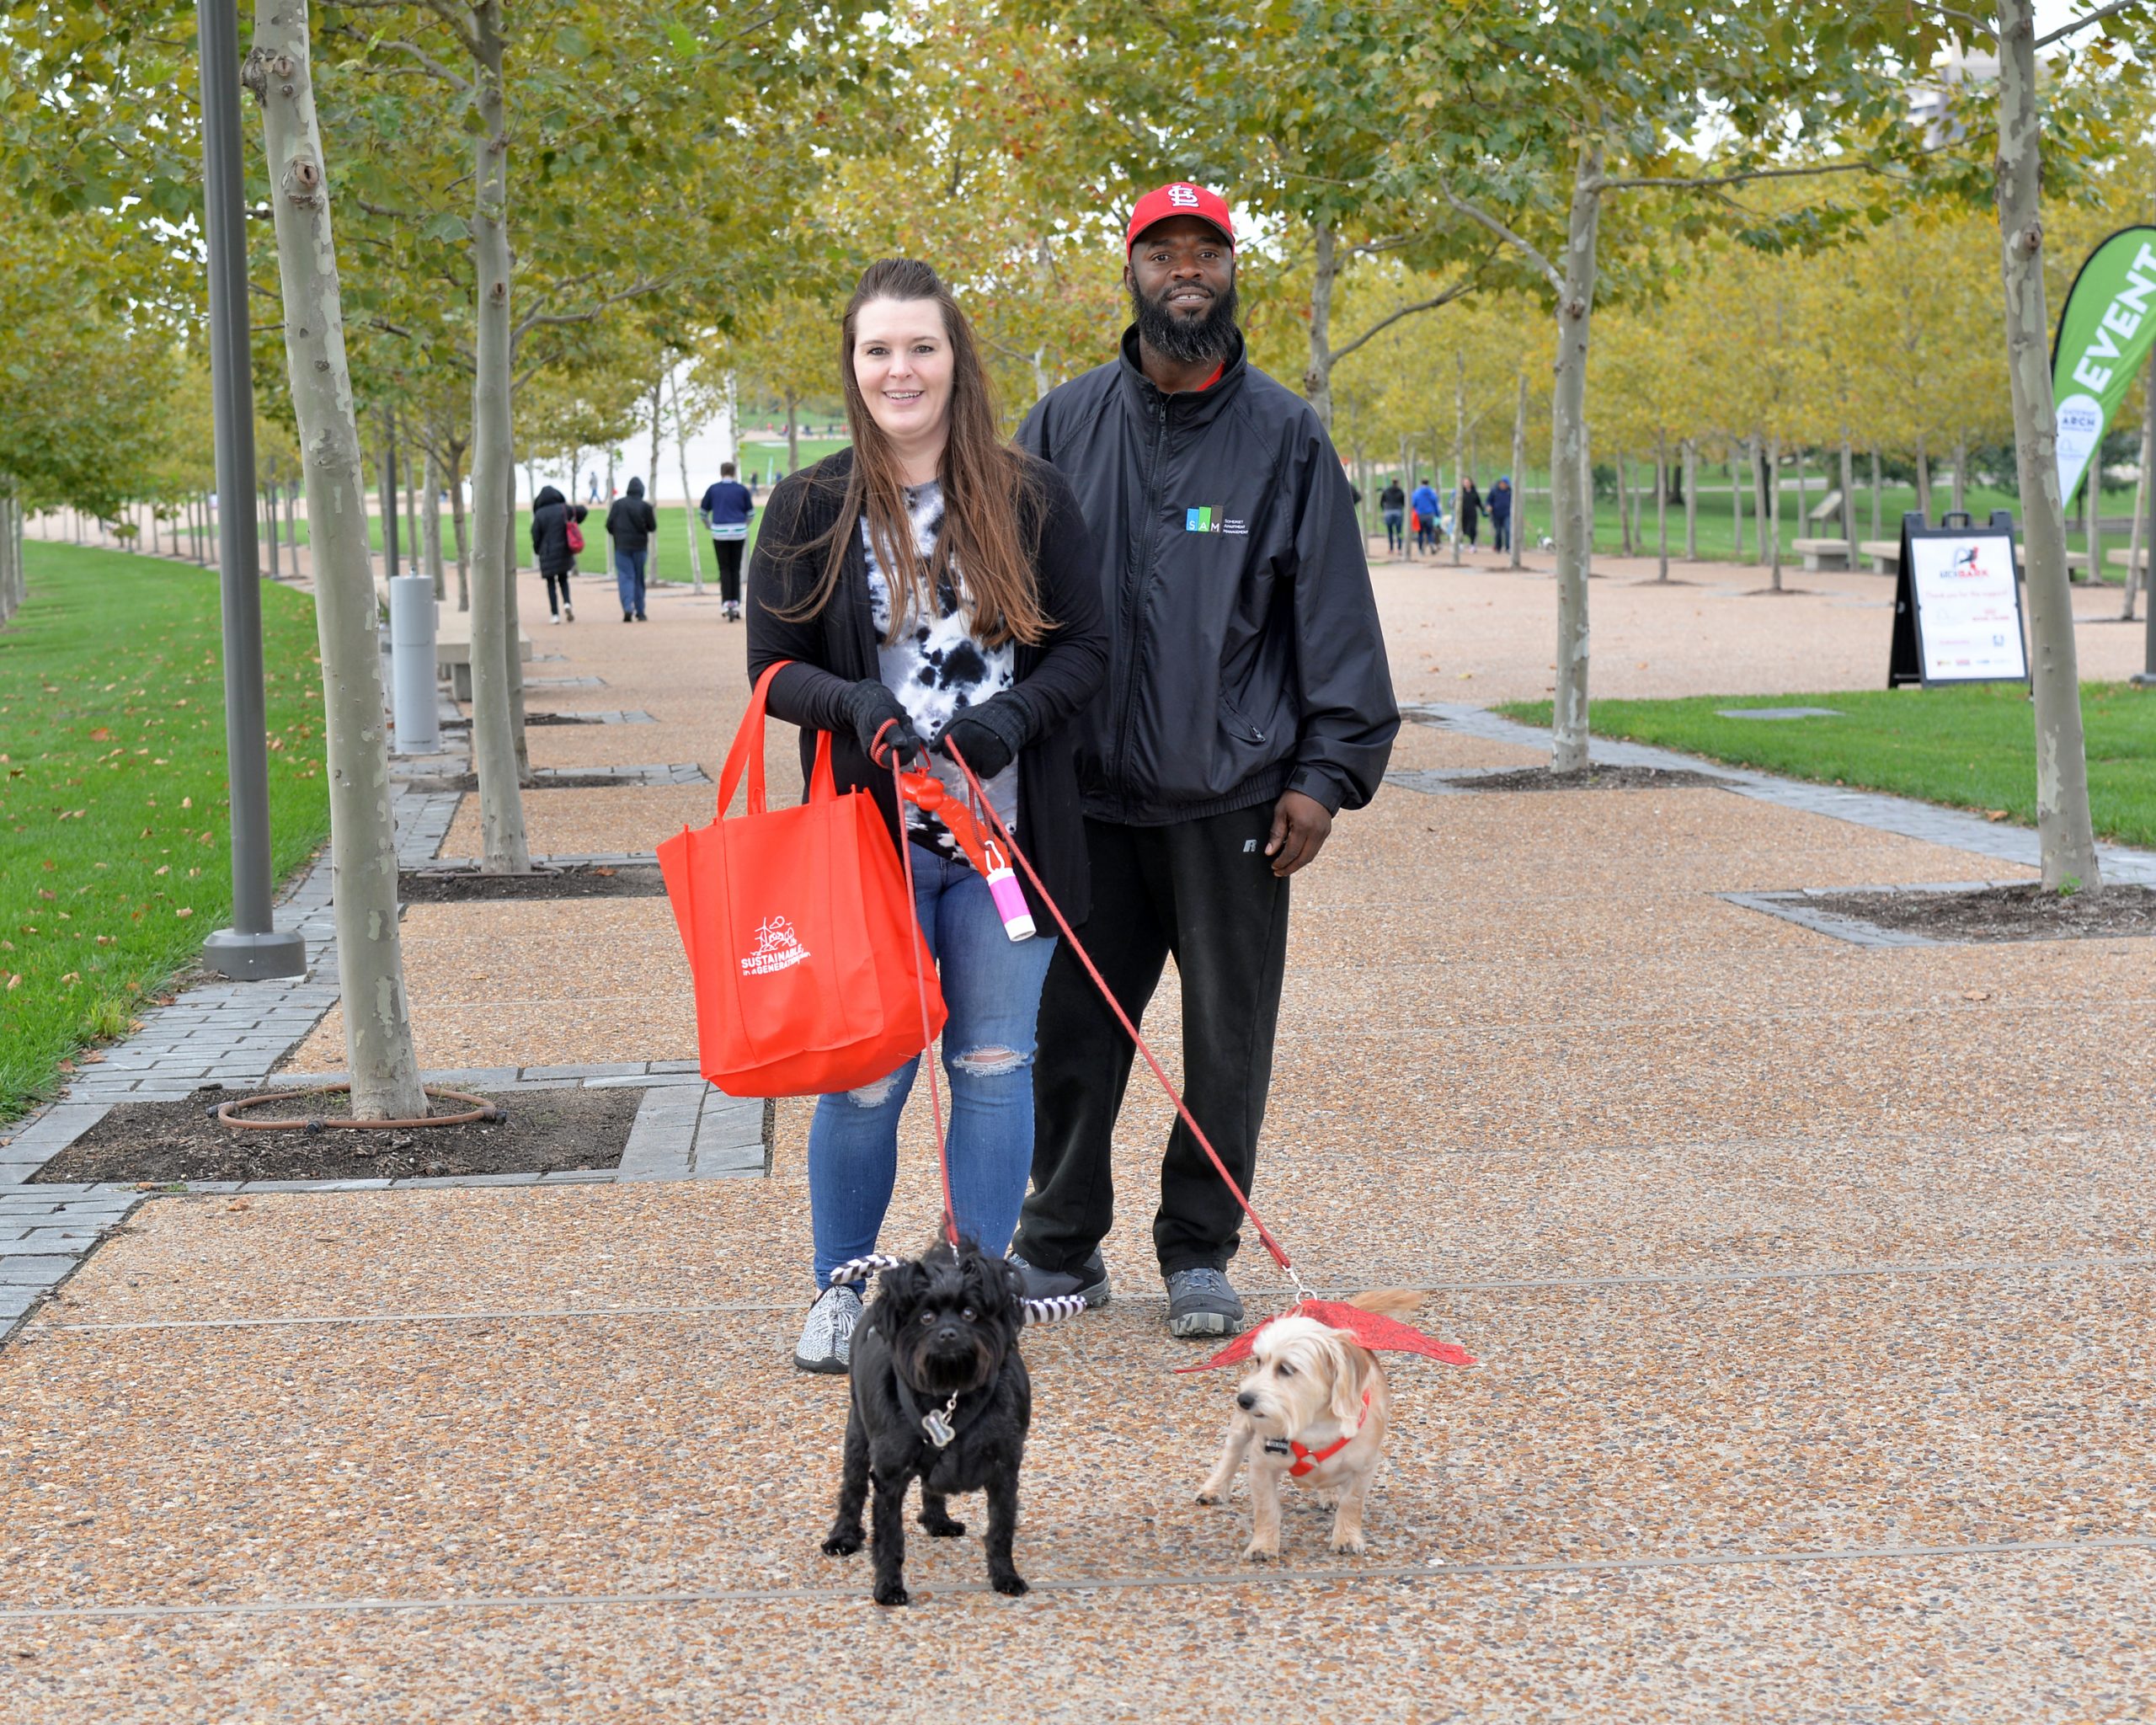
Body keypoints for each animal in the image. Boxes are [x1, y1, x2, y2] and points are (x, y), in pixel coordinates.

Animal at [821, 1238, 1033, 1606]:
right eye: (926, 1316)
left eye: (969, 1313)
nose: (948, 1333)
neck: (950, 1394)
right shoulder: (889, 1478)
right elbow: (889, 1537)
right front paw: (888, 1587)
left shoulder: (1005, 1472)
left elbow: (1001, 1530)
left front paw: (1005, 1576)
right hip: (858, 1434)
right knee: (852, 1486)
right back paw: (843, 1536)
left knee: (929, 1486)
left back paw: (938, 1519)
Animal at [1196, 1288, 1428, 1560]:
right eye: (1258, 1361)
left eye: (1286, 1369)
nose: (1243, 1399)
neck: (1313, 1424)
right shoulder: (1262, 1467)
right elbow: (1266, 1508)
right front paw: (1263, 1544)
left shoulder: (1363, 1468)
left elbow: (1352, 1503)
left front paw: (1346, 1536)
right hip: (1241, 1429)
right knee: (1231, 1456)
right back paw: (1215, 1488)